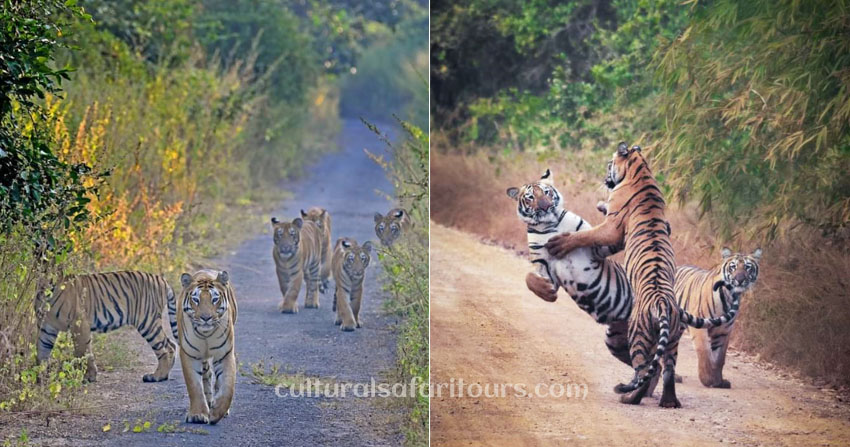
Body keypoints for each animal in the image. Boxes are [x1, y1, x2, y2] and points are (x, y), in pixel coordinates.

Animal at [34, 272, 177, 384]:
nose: (43, 288)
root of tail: (161, 279)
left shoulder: (79, 323)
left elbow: (83, 351)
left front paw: (88, 377)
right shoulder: (46, 328)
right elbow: (42, 352)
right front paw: (40, 379)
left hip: (147, 321)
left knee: (165, 348)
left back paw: (156, 376)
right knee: (171, 344)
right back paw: (164, 375)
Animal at [506, 169, 632, 368]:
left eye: (546, 192)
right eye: (531, 197)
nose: (545, 207)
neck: (549, 224)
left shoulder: (598, 249)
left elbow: (582, 235)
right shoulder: (544, 266)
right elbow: (530, 278)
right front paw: (548, 293)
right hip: (616, 340)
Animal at [544, 144, 684, 410]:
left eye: (609, 163)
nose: (604, 178)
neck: (641, 170)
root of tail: (662, 304)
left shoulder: (611, 229)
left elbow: (585, 235)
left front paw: (559, 243)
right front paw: (600, 204)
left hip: (637, 336)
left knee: (642, 371)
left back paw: (629, 398)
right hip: (671, 342)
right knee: (668, 369)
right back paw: (669, 402)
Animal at [672, 248, 760, 388]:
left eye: (747, 267)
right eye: (733, 267)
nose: (740, 279)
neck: (728, 296)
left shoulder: (723, 331)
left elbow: (719, 359)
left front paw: (718, 382)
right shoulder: (699, 327)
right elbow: (704, 353)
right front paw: (707, 380)